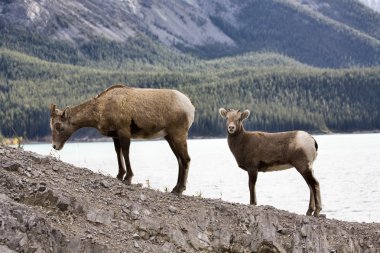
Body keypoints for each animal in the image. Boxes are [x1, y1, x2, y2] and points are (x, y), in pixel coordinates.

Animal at [49, 85, 194, 194]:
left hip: (178, 133)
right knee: (179, 159)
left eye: (58, 126)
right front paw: (119, 176)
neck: (100, 109)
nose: (55, 146)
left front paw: (128, 178)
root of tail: (190, 107)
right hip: (169, 136)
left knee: (186, 158)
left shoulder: (124, 130)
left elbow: (125, 152)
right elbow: (118, 153)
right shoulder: (115, 135)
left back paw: (179, 190)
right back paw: (175, 188)